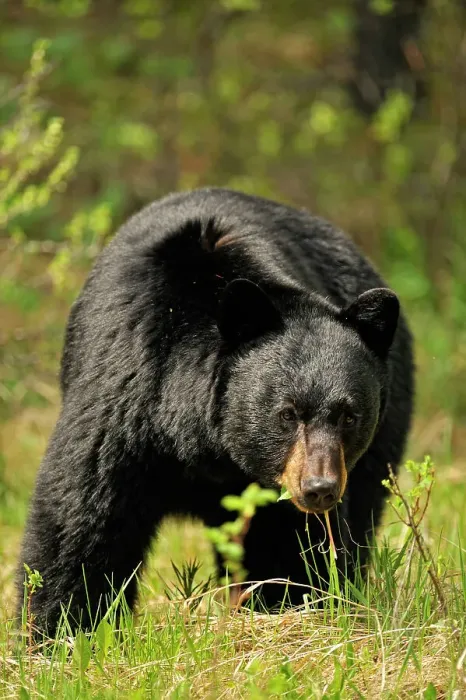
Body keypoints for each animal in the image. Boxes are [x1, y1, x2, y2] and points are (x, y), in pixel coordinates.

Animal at [18, 187, 414, 635]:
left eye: (349, 416)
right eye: (287, 413)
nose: (319, 488)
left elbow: (289, 548)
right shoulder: (123, 398)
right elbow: (81, 522)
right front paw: (63, 632)